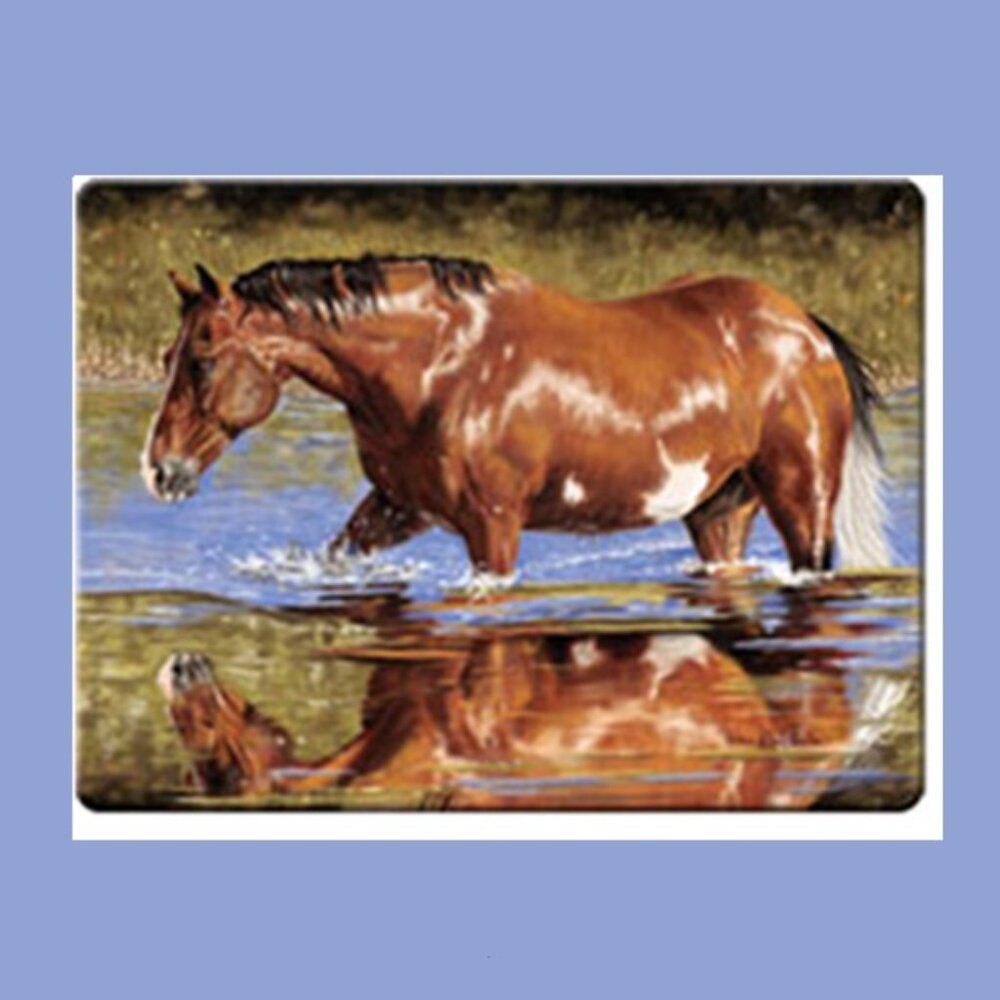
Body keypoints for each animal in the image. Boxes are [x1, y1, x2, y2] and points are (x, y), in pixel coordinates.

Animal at [141, 254, 890, 577]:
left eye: (202, 359)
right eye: (167, 356)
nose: (159, 471)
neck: (441, 362)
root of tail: (807, 329)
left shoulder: (492, 526)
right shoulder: (398, 507)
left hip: (802, 503)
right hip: (720, 512)